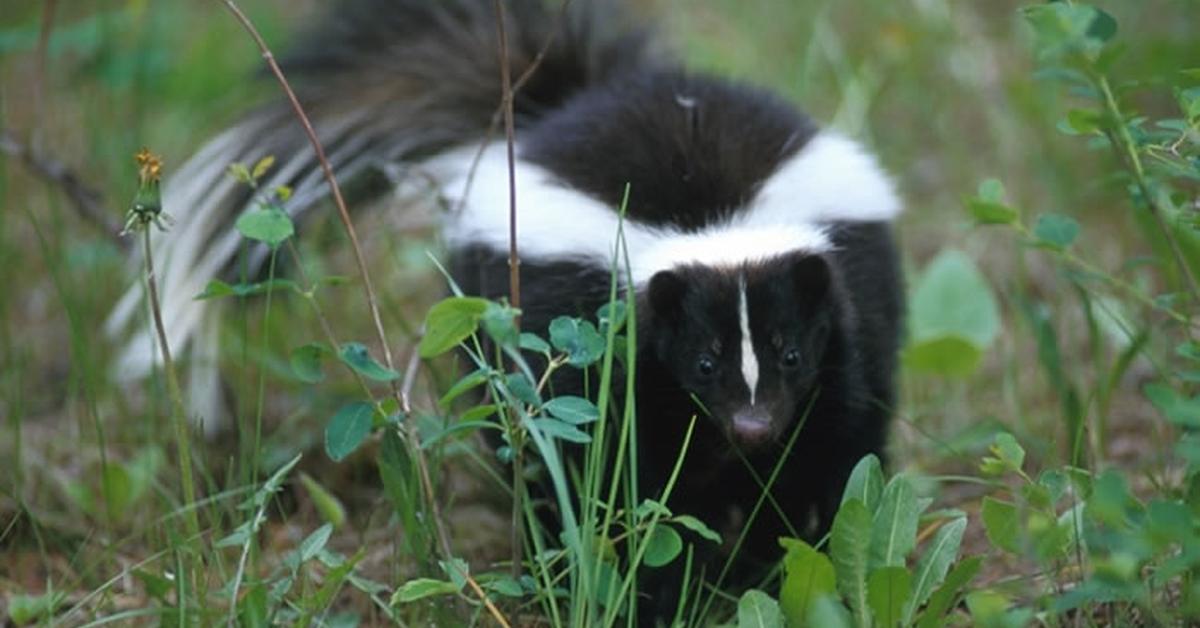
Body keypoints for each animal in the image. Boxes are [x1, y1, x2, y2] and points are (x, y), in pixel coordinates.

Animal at [110, 0, 902, 609]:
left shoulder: (842, 322)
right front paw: (657, 594)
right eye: (703, 363)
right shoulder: (604, 356)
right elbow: (619, 485)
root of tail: (569, 100)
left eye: (789, 352)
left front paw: (785, 556)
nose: (754, 426)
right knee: (533, 463)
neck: (706, 220)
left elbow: (831, 448)